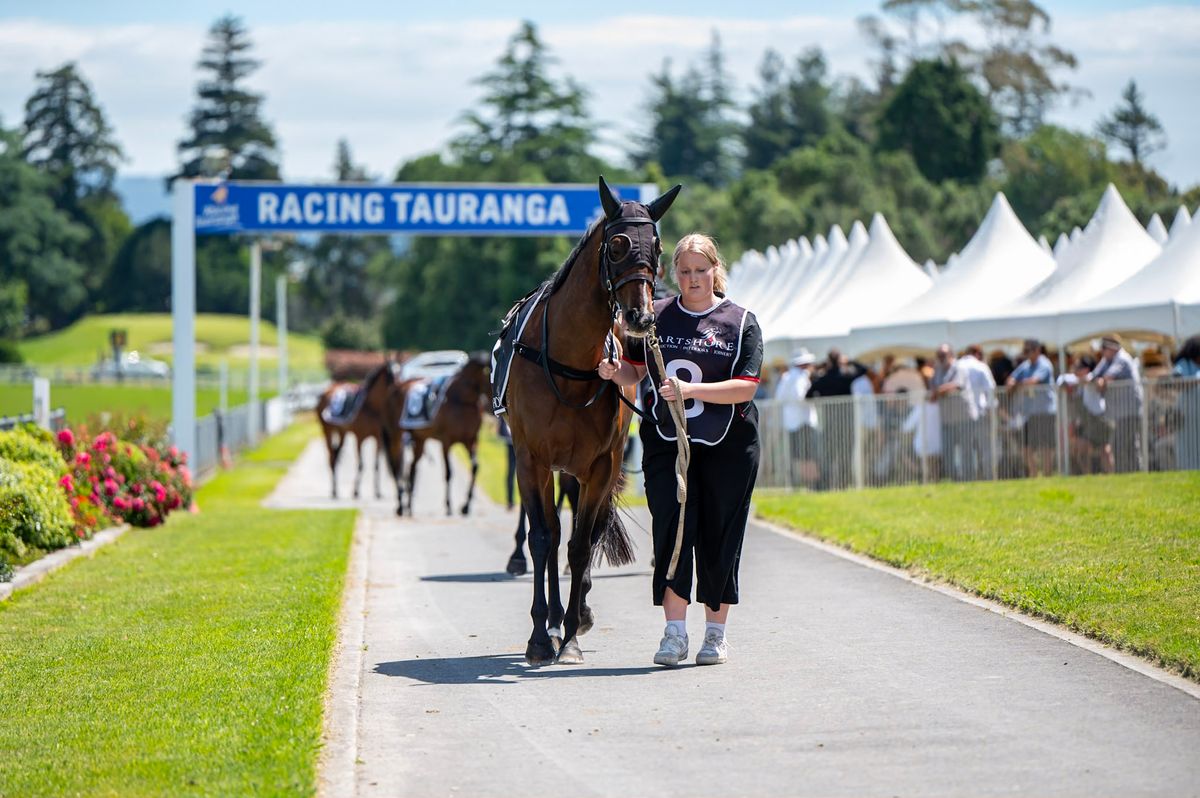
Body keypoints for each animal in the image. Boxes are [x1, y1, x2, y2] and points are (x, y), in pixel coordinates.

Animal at [314, 360, 398, 501]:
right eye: (390, 375)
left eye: (400, 371)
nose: (398, 387)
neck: (371, 408)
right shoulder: (360, 438)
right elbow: (361, 464)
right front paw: (356, 492)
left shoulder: (378, 439)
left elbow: (376, 465)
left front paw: (378, 492)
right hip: (327, 430)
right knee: (331, 457)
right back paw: (334, 491)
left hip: (341, 432)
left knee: (335, 455)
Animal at [388, 352, 492, 516]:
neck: (461, 400)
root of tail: (399, 387)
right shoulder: (446, 442)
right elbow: (449, 473)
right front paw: (449, 506)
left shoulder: (471, 440)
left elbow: (475, 467)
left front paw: (466, 506)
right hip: (396, 435)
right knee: (396, 466)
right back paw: (400, 505)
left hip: (419, 439)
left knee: (412, 467)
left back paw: (409, 506)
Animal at [501, 177, 681, 662]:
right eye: (617, 245)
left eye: (657, 246)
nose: (641, 316)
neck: (568, 363)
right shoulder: (531, 459)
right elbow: (543, 538)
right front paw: (540, 637)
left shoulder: (601, 465)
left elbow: (582, 543)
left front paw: (570, 636)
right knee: (551, 532)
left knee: (586, 532)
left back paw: (576, 614)